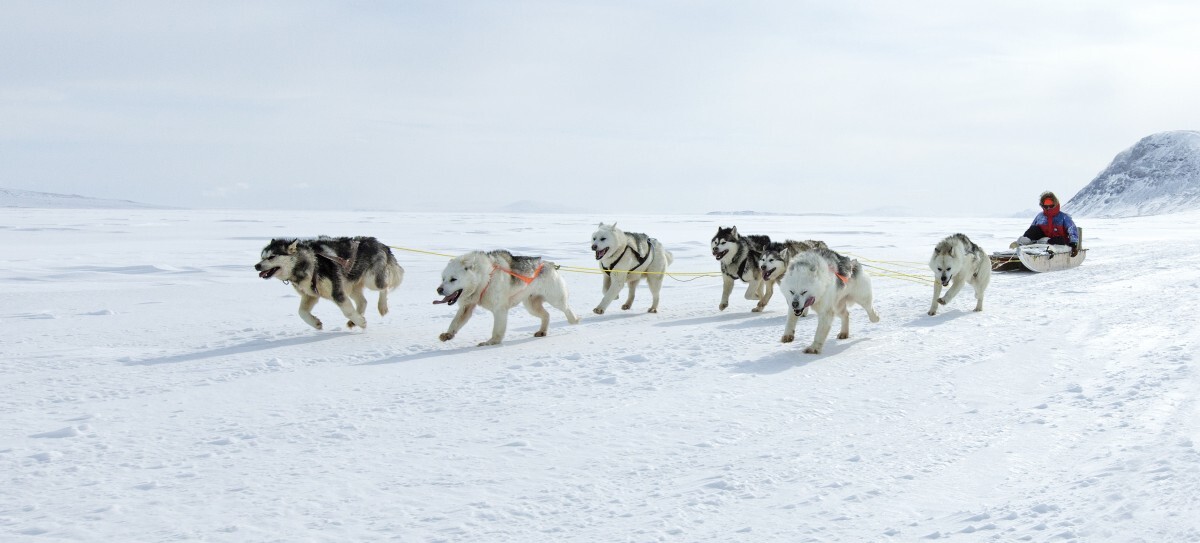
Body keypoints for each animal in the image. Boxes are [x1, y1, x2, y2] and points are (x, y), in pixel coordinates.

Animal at [253, 235, 403, 329]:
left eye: (271, 257)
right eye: (262, 257)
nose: (256, 266)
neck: (310, 262)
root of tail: (381, 244)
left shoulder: (337, 292)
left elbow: (347, 311)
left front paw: (361, 323)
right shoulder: (310, 295)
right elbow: (301, 312)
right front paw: (315, 323)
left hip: (371, 280)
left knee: (384, 287)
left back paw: (381, 307)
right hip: (351, 285)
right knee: (363, 301)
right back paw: (353, 322)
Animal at [436, 248, 580, 345]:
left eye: (453, 279)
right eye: (443, 278)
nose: (439, 290)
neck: (486, 278)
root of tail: (549, 264)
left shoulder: (500, 310)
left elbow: (497, 331)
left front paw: (491, 342)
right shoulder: (467, 306)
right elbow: (455, 322)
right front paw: (448, 334)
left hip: (556, 299)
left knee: (566, 308)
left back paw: (574, 320)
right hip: (531, 306)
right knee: (546, 315)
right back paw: (542, 331)